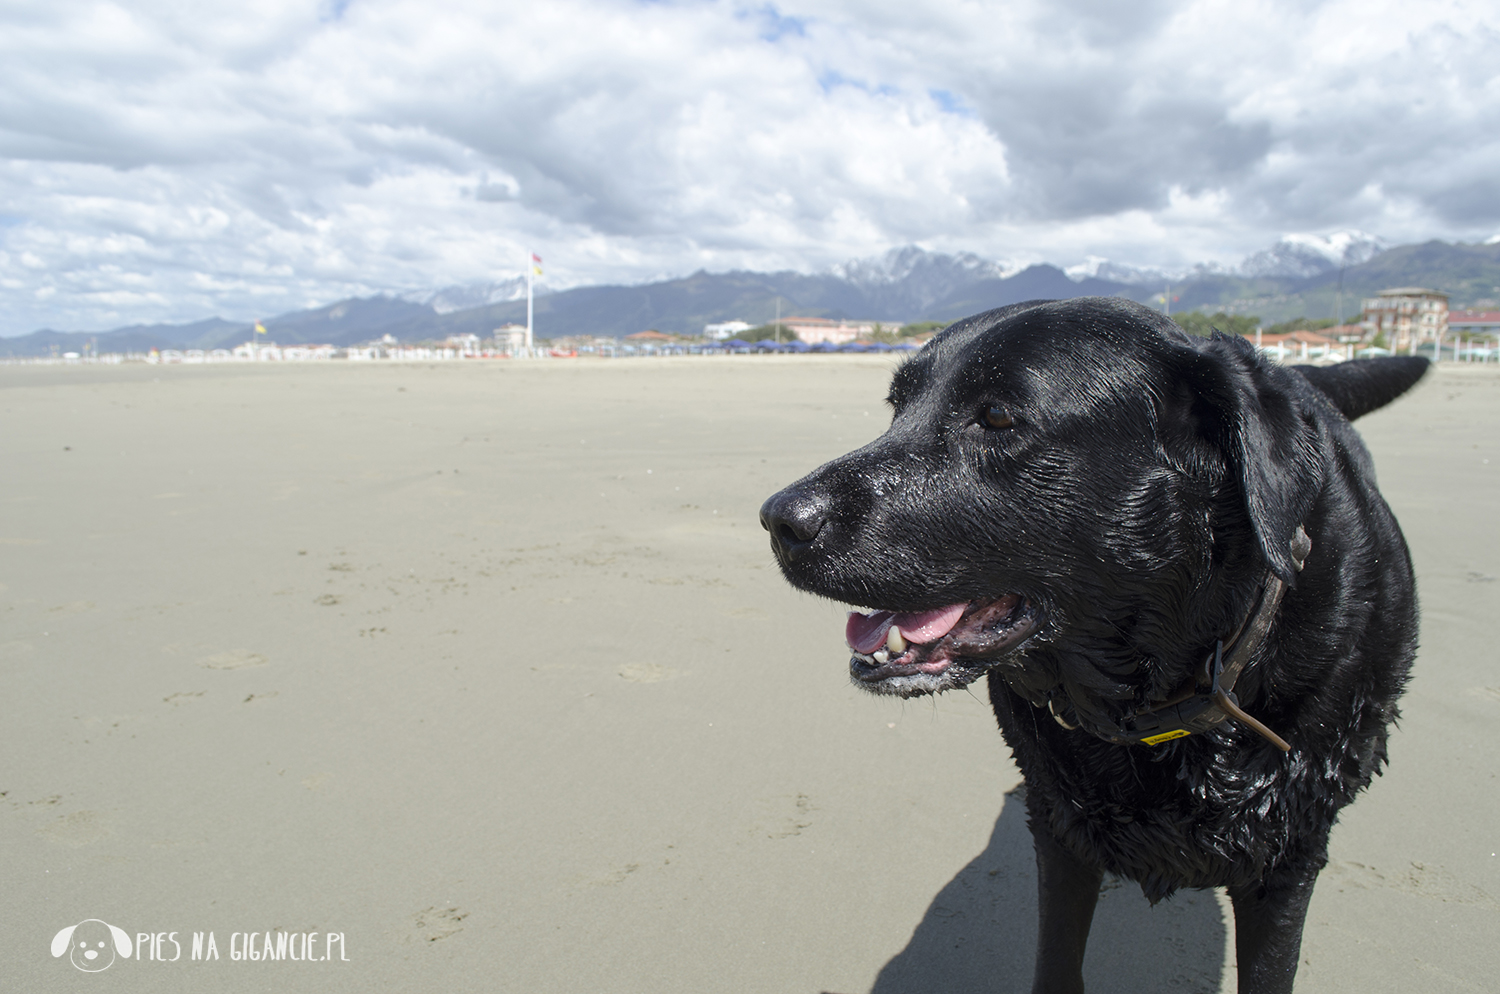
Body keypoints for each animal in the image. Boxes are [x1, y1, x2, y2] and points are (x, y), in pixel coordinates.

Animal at [768, 299, 1422, 994]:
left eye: (996, 417)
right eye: (897, 408)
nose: (778, 519)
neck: (1158, 703)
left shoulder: (1288, 860)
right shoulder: (1060, 828)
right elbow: (1057, 959)